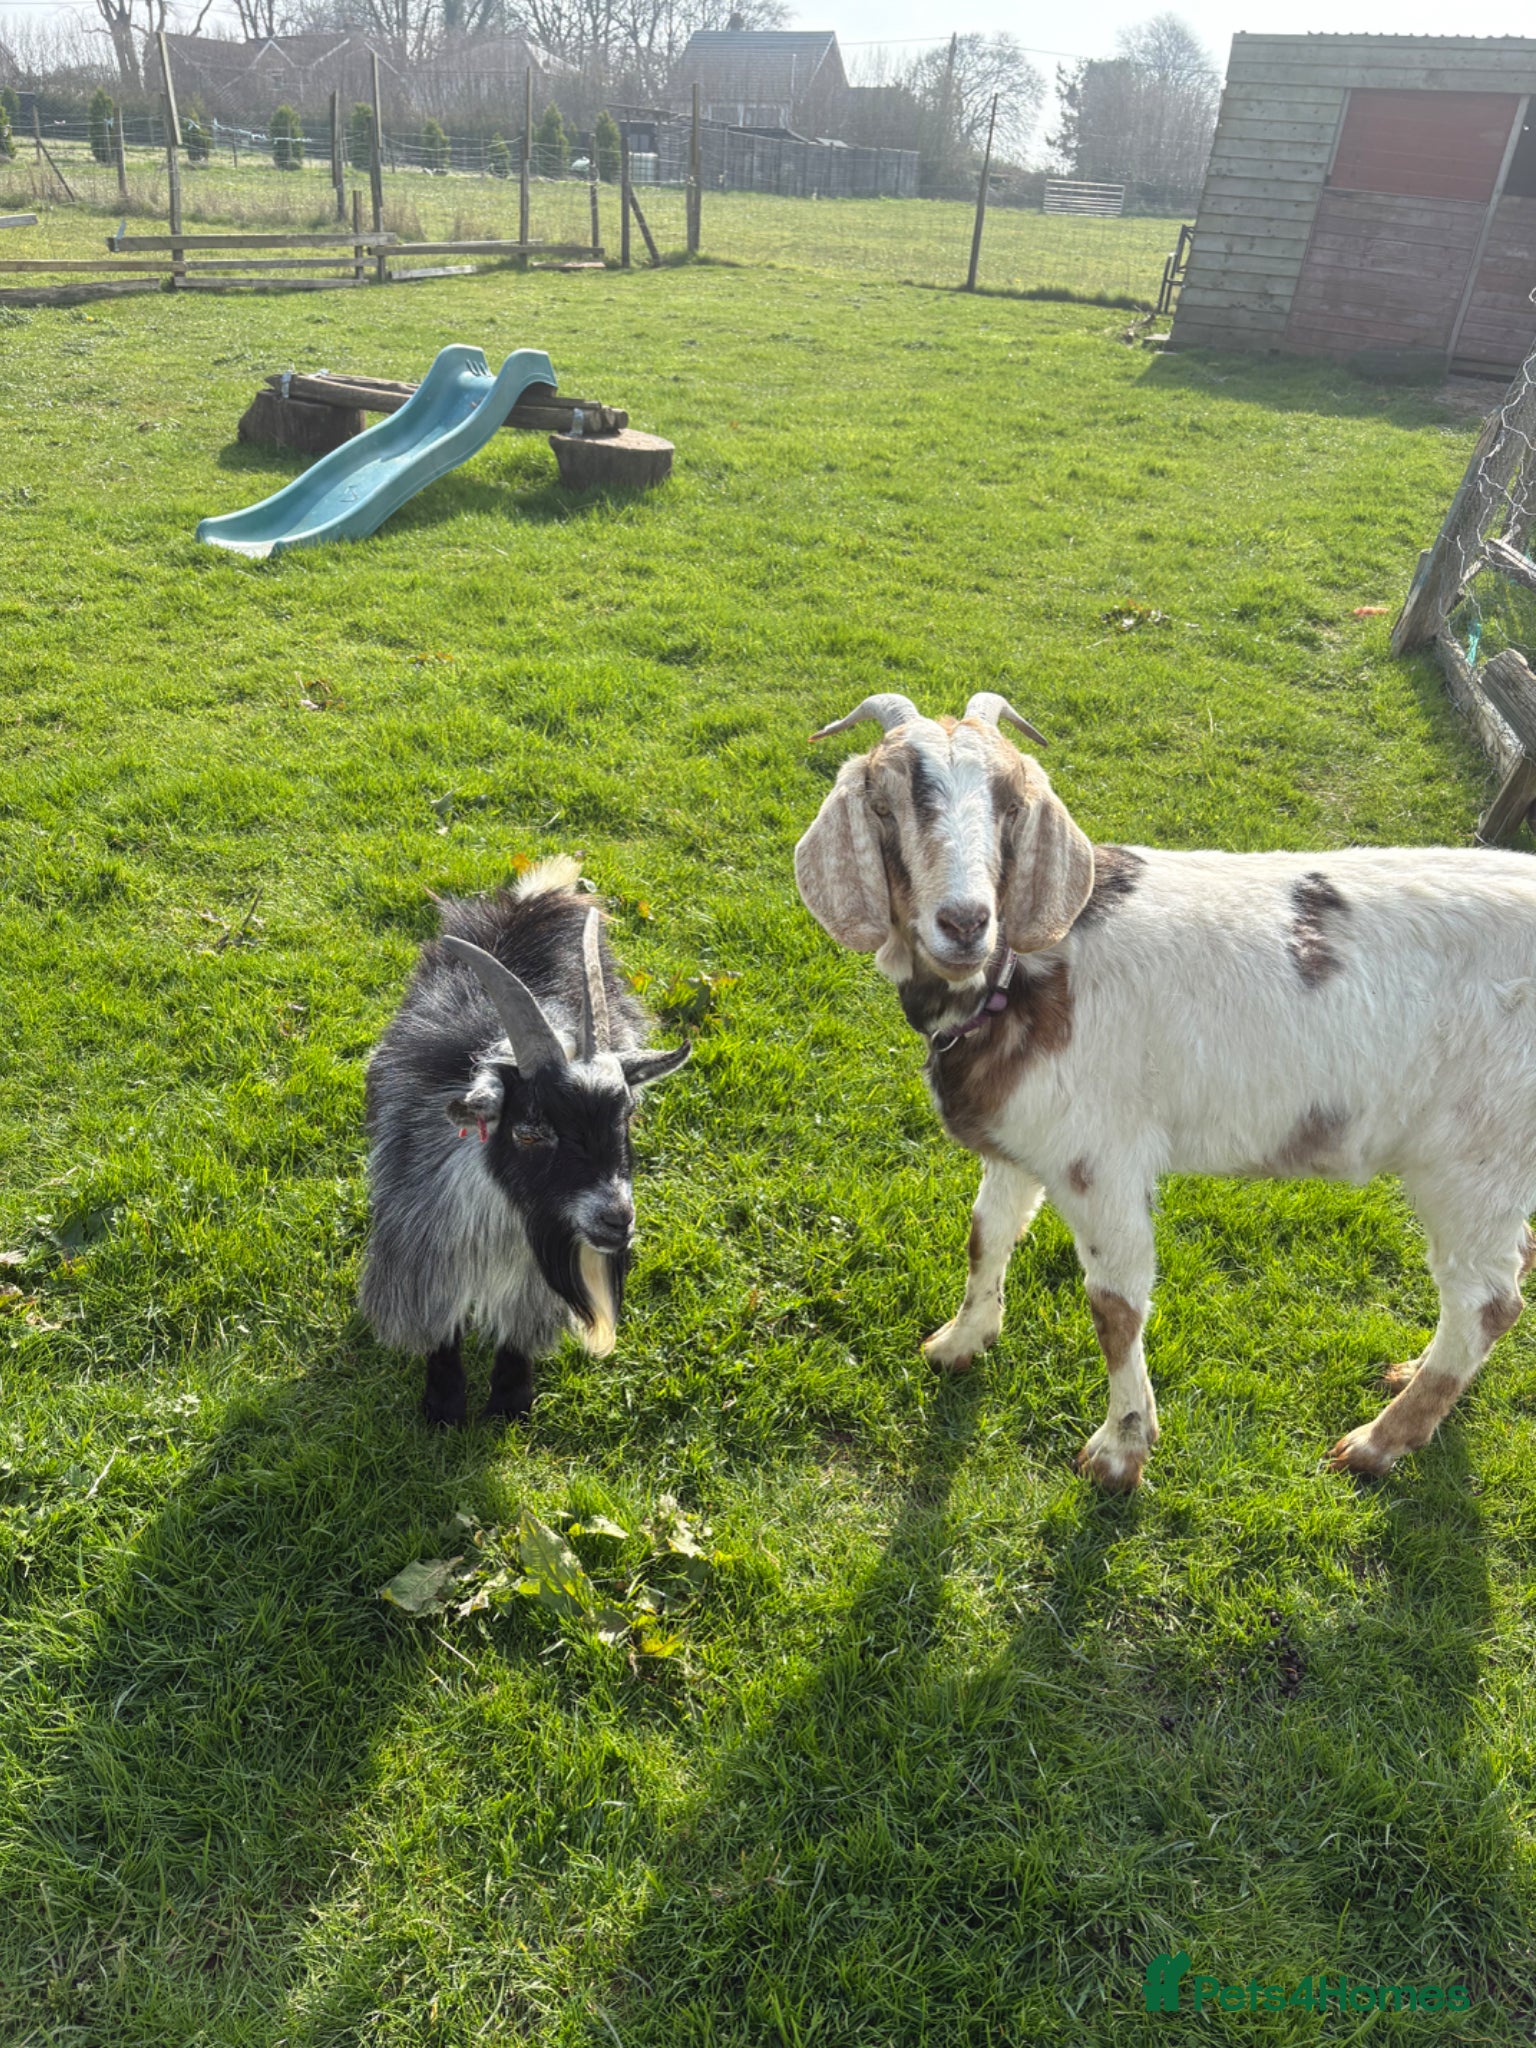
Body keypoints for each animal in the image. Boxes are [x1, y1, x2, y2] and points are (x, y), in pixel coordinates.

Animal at [359, 856, 689, 1425]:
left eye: (625, 1116)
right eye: (531, 1132)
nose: (616, 1220)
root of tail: (534, 897)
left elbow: (519, 1329)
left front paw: (510, 1403)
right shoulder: (422, 1249)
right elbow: (441, 1330)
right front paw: (443, 1408)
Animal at [794, 691, 1536, 1490]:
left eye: (1012, 805)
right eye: (883, 803)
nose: (965, 922)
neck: (1020, 975)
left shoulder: (1098, 1156)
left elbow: (1114, 1304)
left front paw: (1120, 1453)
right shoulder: (1019, 1138)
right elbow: (986, 1234)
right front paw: (962, 1340)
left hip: (1477, 1154)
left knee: (1488, 1300)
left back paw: (1379, 1441)